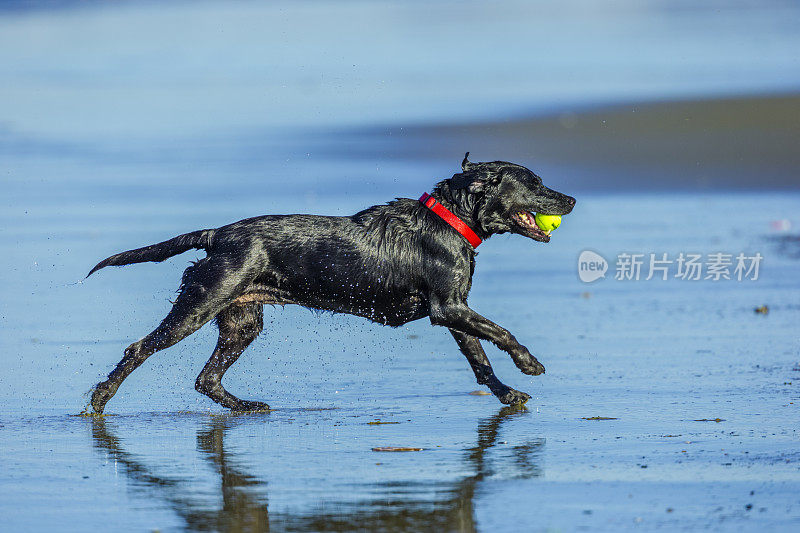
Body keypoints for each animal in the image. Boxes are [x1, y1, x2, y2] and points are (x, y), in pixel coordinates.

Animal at [87, 154, 576, 412]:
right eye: (534, 182)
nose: (571, 199)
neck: (447, 220)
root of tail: (216, 235)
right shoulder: (449, 309)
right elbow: (501, 331)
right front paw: (530, 363)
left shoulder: (455, 311)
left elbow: (480, 359)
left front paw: (508, 392)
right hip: (200, 303)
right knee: (139, 349)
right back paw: (100, 398)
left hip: (242, 321)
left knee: (206, 379)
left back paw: (245, 407)